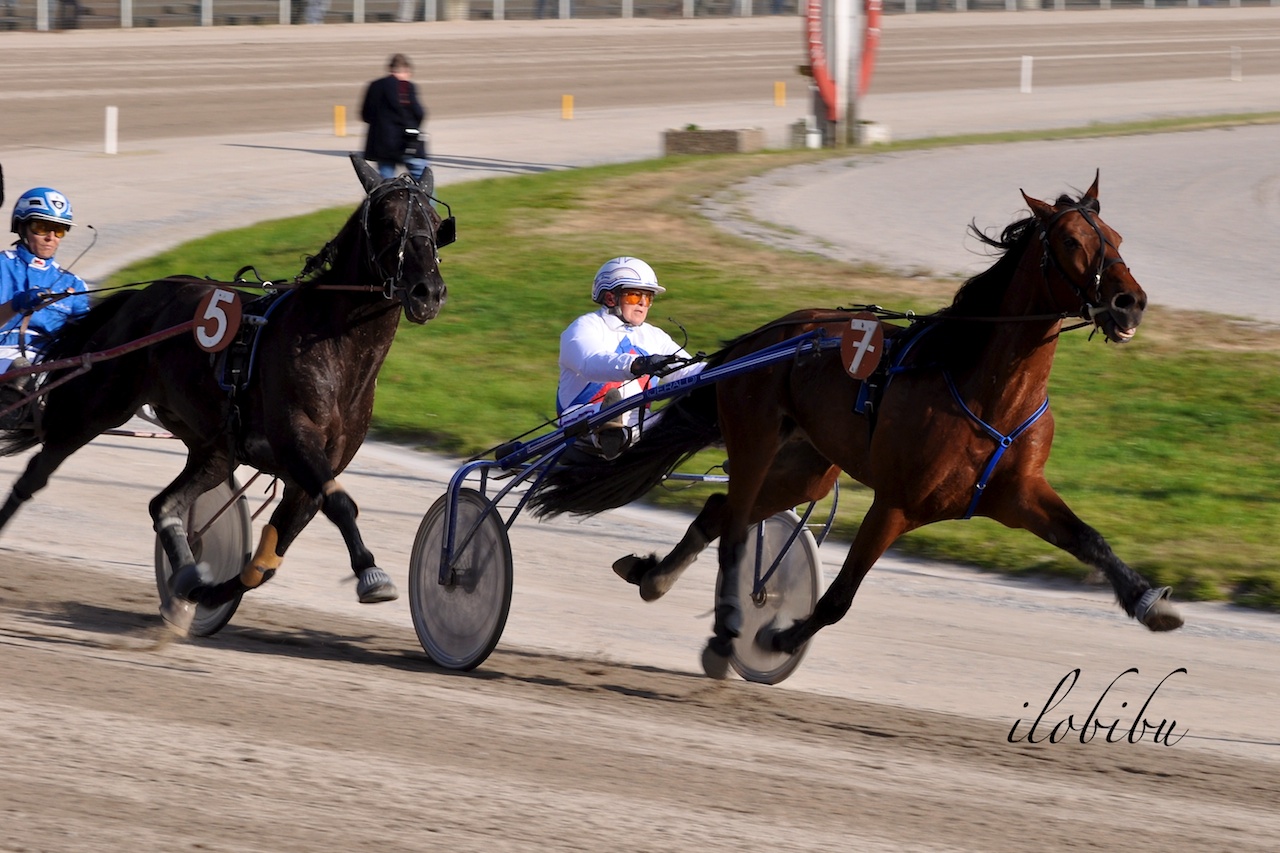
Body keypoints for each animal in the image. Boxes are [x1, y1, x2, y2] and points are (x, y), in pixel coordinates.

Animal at [0, 156, 453, 630]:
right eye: (387, 222)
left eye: (436, 223)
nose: (428, 292)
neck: (333, 345)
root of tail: (140, 297)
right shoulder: (297, 441)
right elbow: (341, 503)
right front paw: (371, 573)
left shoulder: (312, 469)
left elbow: (265, 563)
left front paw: (202, 589)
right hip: (94, 409)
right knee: (35, 476)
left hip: (214, 447)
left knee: (164, 505)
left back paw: (185, 570)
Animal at [527, 172, 1177, 676]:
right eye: (1070, 241)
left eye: (1115, 237)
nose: (1129, 303)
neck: (986, 389)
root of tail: (764, 338)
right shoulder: (898, 501)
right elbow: (840, 598)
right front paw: (775, 636)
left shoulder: (1017, 494)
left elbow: (1090, 540)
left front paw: (1152, 603)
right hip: (756, 439)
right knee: (734, 525)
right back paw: (728, 627)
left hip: (805, 467)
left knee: (718, 511)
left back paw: (654, 577)